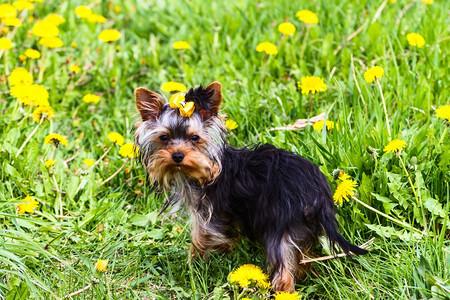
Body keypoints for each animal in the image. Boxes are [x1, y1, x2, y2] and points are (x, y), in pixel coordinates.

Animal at [133, 81, 366, 290]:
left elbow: (200, 240)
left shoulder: (207, 216)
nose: (177, 155)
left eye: (195, 138)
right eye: (164, 137)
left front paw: (192, 265)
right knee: (302, 255)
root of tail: (317, 191)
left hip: (278, 226)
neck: (208, 169)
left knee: (283, 270)